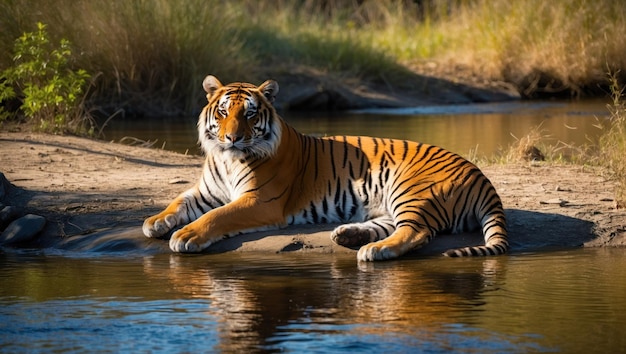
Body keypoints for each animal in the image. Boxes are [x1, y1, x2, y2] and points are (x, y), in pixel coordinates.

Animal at [143, 75, 508, 262]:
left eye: (249, 113)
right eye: (222, 112)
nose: (232, 138)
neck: (225, 158)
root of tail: (481, 176)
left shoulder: (259, 201)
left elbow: (218, 216)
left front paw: (186, 235)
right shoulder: (206, 191)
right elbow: (179, 202)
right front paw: (155, 222)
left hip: (411, 190)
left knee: (417, 232)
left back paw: (373, 251)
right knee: (394, 225)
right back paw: (350, 235)